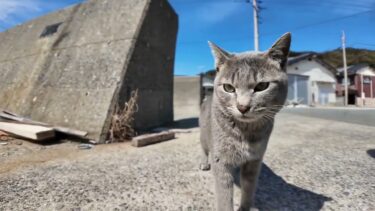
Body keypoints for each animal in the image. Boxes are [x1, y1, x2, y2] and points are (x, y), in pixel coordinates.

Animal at [200, 33, 290, 211]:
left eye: (262, 86)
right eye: (228, 88)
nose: (242, 106)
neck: (246, 132)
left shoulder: (254, 161)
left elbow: (249, 188)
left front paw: (246, 207)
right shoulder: (221, 162)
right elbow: (224, 197)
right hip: (204, 136)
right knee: (204, 149)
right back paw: (204, 162)